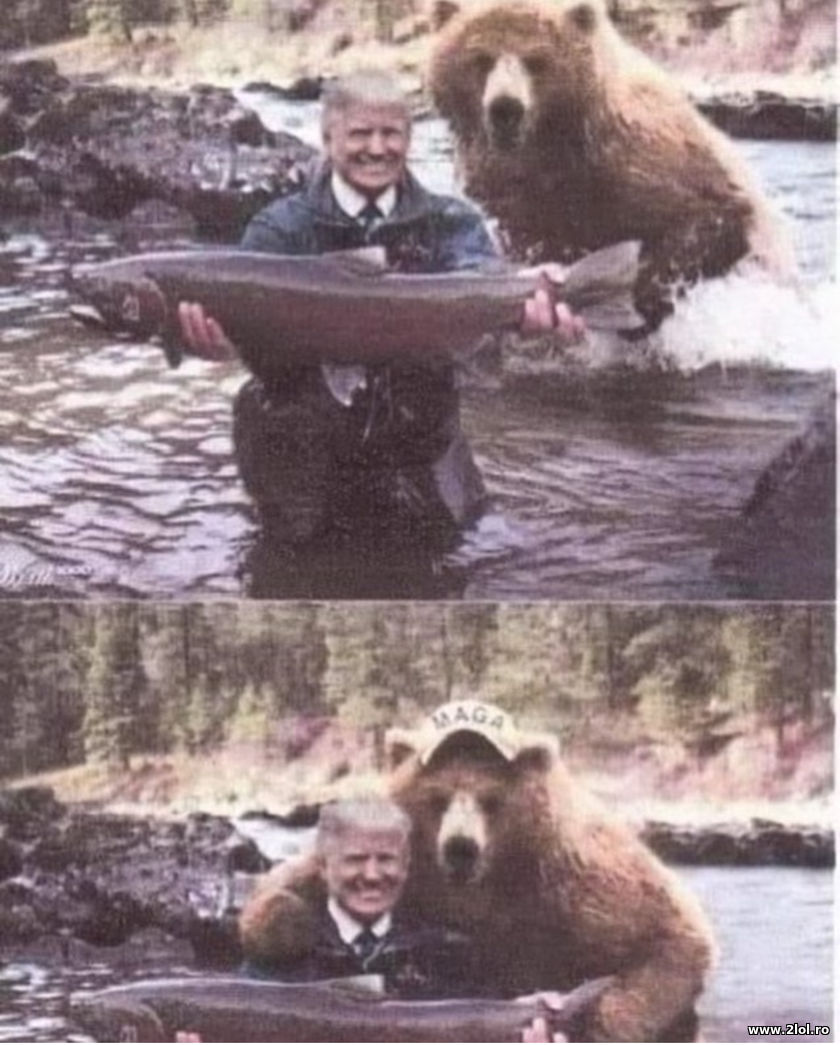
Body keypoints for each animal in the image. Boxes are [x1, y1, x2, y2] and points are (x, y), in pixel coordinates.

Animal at [239, 703, 715, 1042]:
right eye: (439, 797)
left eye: (491, 799)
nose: (461, 847)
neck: (486, 883)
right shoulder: (421, 871)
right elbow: (284, 886)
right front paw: (292, 925)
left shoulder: (574, 877)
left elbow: (670, 937)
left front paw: (599, 1019)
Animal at [427, 0, 794, 328]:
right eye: (481, 58)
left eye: (536, 60)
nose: (505, 108)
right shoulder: (511, 195)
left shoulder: (643, 161)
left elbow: (708, 215)